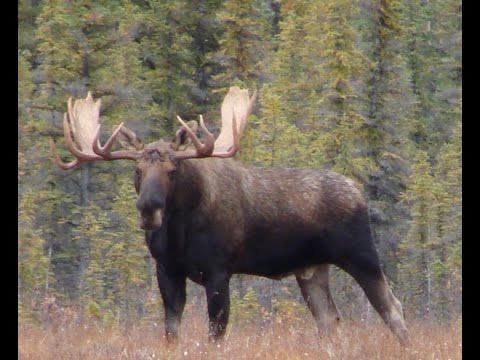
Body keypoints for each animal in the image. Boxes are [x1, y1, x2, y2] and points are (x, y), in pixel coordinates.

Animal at [50, 86, 406, 344]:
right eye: (137, 170)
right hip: (312, 270)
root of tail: (359, 192)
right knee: (329, 320)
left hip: (361, 255)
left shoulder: (219, 271)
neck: (179, 234)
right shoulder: (167, 270)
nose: (148, 209)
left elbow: (216, 335)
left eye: (173, 169)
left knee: (393, 308)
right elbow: (171, 333)